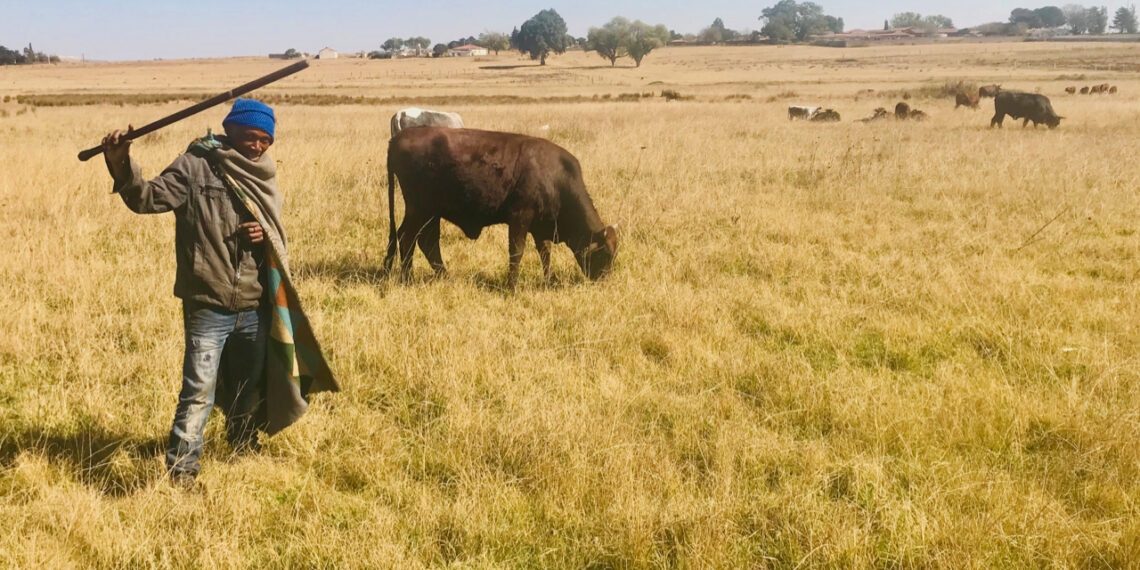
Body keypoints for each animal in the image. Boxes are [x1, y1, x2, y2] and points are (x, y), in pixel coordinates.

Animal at [385, 127, 618, 289]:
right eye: (605, 254)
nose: (604, 280)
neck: (554, 176)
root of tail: (398, 137)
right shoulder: (519, 219)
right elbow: (516, 252)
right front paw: (511, 286)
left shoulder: (540, 226)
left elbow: (545, 254)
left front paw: (549, 280)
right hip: (420, 211)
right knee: (408, 239)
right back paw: (408, 279)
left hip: (430, 213)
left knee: (426, 242)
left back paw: (444, 276)